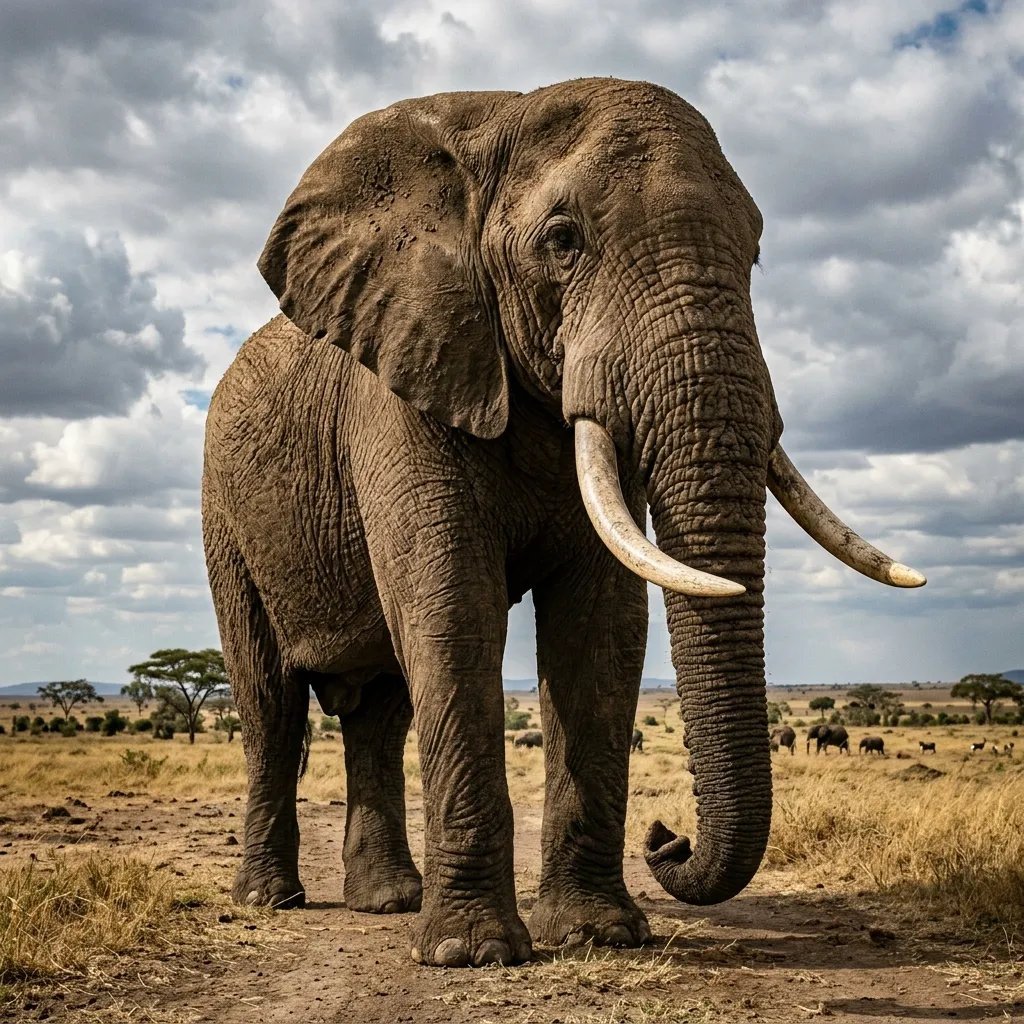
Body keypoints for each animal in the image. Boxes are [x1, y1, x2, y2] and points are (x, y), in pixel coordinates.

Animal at [202, 78, 926, 969]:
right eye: (562, 241)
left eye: (755, 253)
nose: (668, 839)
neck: (494, 117)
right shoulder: (403, 383)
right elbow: (452, 608)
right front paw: (473, 955)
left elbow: (603, 624)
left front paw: (596, 935)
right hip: (223, 512)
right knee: (269, 701)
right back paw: (272, 900)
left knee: (380, 710)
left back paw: (389, 902)